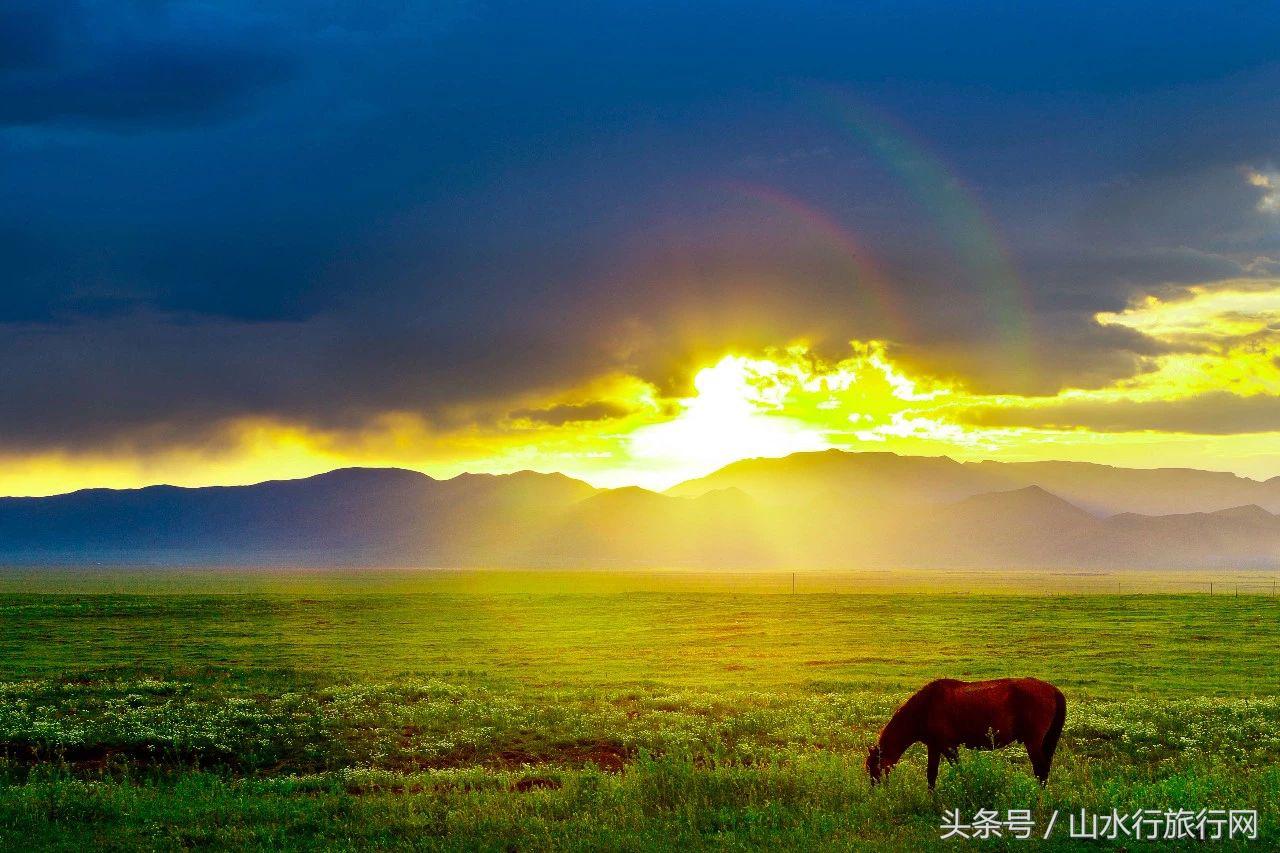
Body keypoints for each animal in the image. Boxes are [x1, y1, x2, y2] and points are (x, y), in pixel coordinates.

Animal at [865, 676, 1064, 788]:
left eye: (874, 767)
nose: (875, 790)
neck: (925, 707)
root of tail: (1053, 690)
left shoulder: (949, 747)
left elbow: (959, 771)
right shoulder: (934, 747)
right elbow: (931, 776)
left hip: (1033, 742)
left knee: (1041, 770)